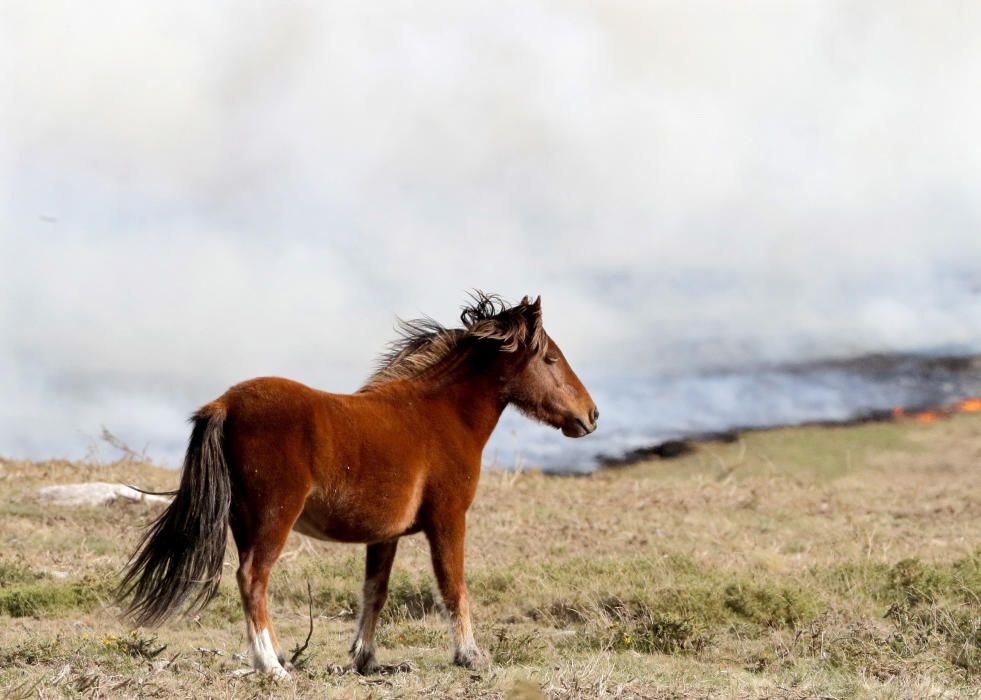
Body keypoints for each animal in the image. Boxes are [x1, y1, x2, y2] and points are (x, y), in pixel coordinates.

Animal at [119, 292, 600, 680]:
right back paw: (272, 667)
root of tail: (225, 404)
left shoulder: (384, 536)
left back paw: (278, 657)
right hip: (274, 519)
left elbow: (374, 592)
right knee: (253, 578)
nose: (592, 415)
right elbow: (453, 586)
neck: (438, 416)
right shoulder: (448, 519)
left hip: (243, 522)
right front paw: (470, 656)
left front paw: (367, 660)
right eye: (550, 359)